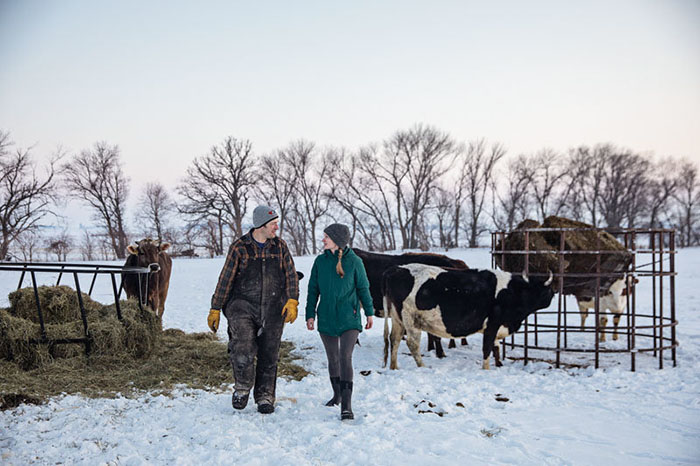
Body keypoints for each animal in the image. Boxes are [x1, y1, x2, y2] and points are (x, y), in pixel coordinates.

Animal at [382, 264, 552, 370]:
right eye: (544, 291)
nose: (551, 297)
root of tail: (395, 269)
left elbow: (496, 347)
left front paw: (499, 365)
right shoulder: (492, 324)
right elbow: (487, 348)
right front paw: (486, 369)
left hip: (398, 319)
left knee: (394, 339)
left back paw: (394, 366)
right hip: (411, 319)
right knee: (412, 343)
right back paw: (422, 366)